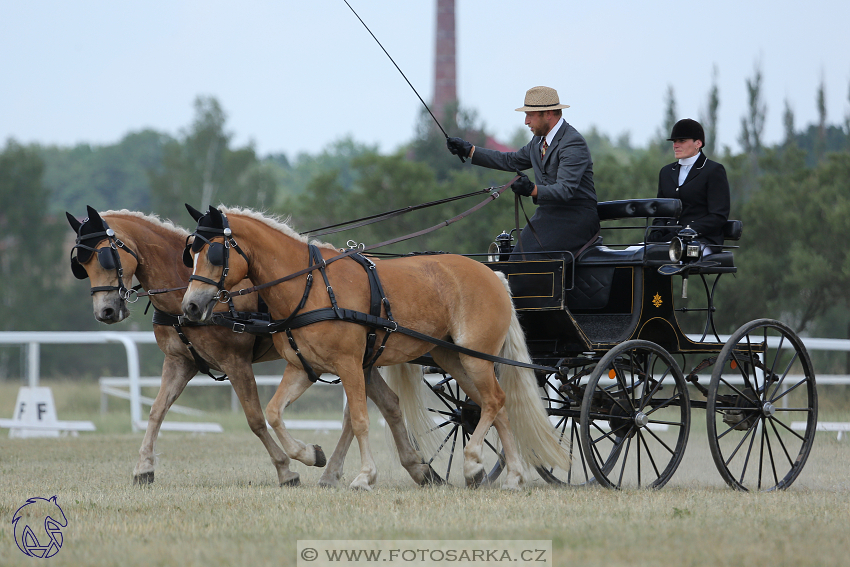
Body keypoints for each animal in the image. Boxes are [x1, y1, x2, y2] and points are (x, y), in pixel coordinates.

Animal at [63, 206, 440, 490]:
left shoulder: (235, 362)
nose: (105, 311)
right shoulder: (180, 362)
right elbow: (157, 411)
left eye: (105, 257)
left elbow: (256, 419)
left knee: (358, 411)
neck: (185, 284)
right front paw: (144, 467)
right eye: (81, 263)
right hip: (362, 359)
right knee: (383, 405)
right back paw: (411, 469)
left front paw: (287, 469)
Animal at [180, 206, 568, 490]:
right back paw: (512, 476)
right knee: (496, 405)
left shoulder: (350, 365)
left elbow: (360, 419)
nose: (191, 307)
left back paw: (475, 463)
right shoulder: (305, 367)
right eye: (191, 255)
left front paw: (364, 476)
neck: (311, 285)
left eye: (215, 253)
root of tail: (494, 275)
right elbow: (274, 412)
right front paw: (310, 454)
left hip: (476, 358)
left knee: (495, 401)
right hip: (455, 358)